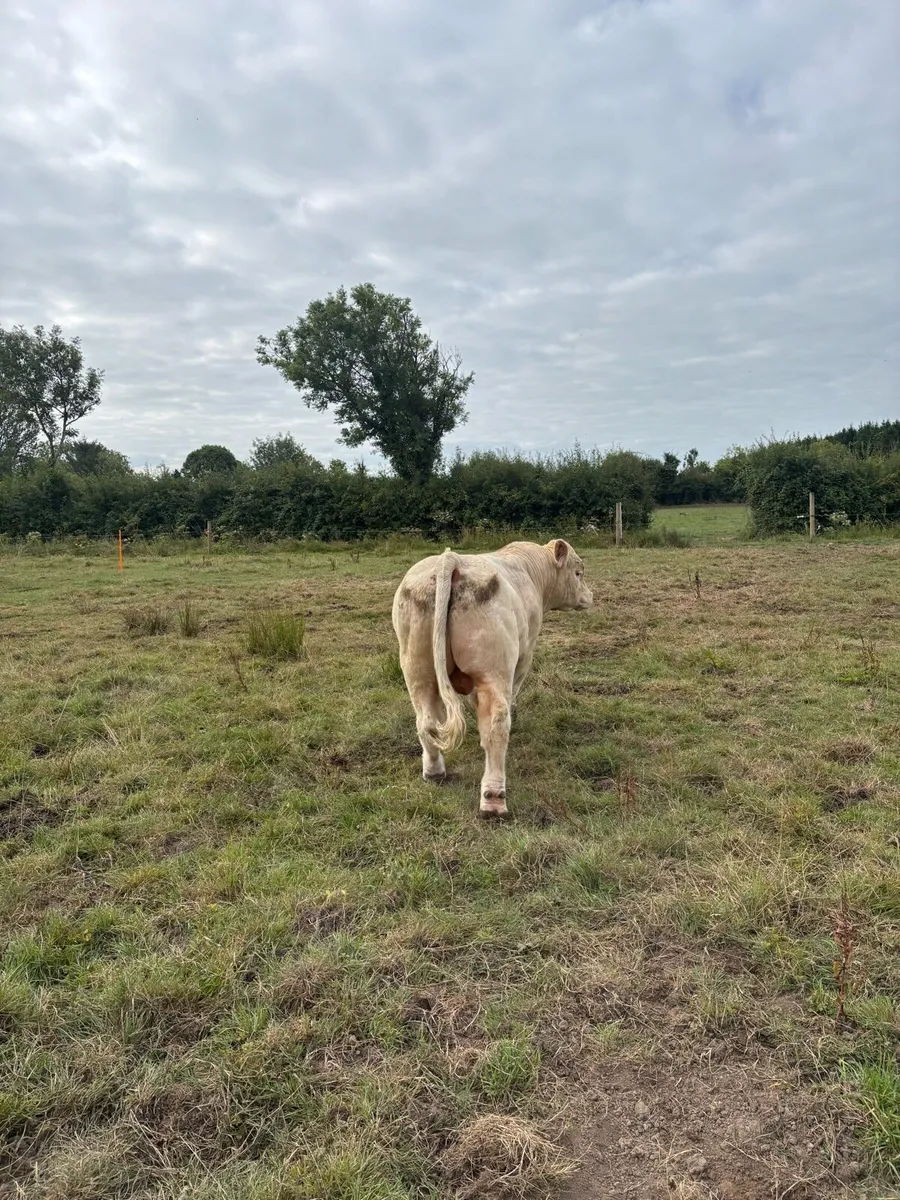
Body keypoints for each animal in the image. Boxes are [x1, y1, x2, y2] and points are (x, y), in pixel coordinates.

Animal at [391, 539, 593, 817]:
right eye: (578, 573)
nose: (590, 596)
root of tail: (452, 559)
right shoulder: (524, 657)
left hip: (417, 668)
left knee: (427, 721)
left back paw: (434, 771)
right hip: (493, 669)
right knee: (496, 724)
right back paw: (494, 798)